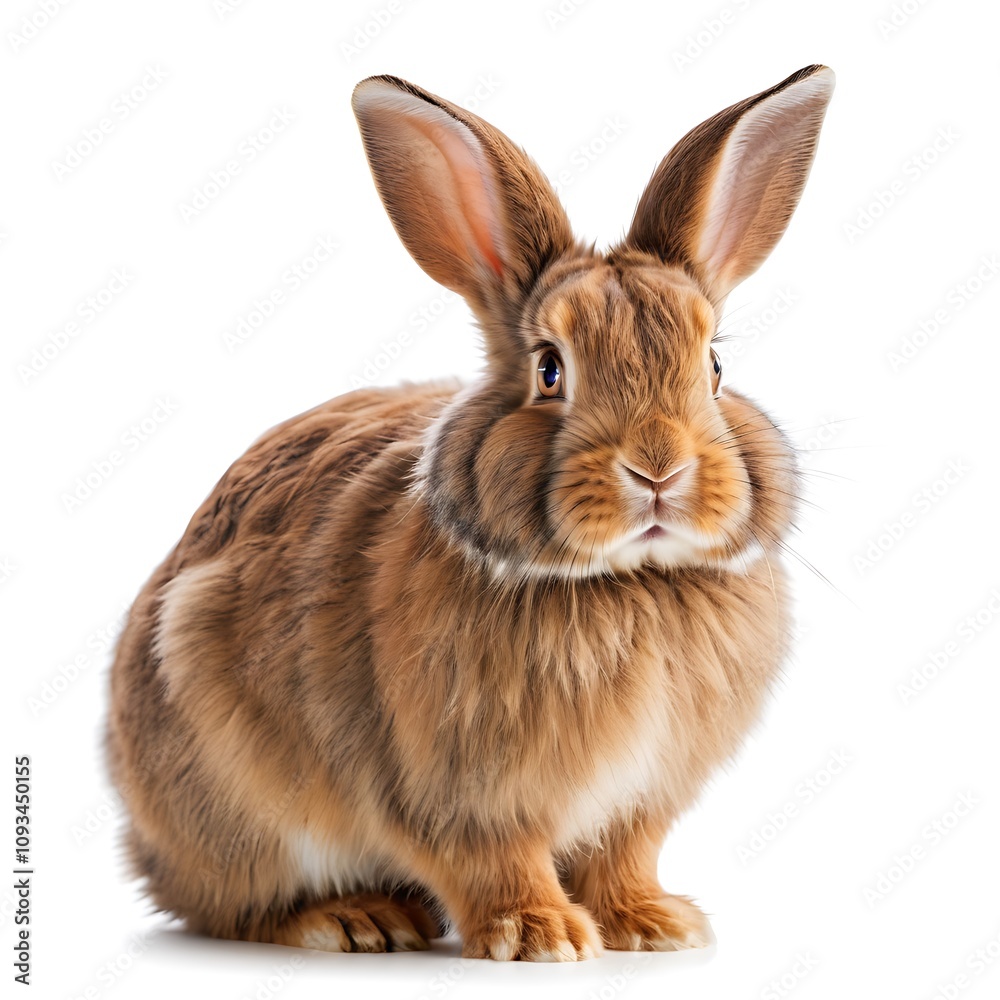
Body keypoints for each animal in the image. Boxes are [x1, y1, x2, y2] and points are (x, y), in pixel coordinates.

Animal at [106, 64, 834, 961]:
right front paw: (540, 937)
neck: (624, 581)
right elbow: (492, 858)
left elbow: (623, 855)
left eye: (716, 367)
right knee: (227, 905)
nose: (658, 468)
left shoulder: (640, 800)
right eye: (550, 369)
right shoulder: (453, 792)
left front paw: (654, 925)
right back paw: (351, 920)